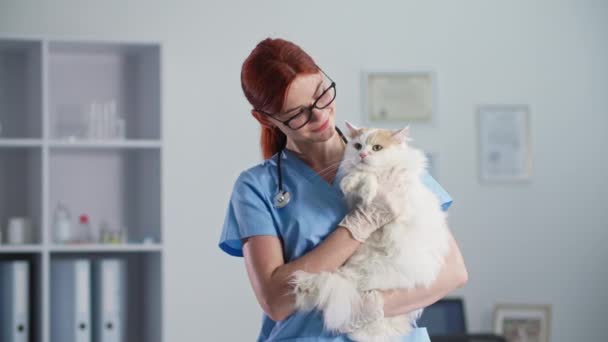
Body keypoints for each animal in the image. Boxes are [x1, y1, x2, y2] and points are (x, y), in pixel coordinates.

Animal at [290, 121, 452, 340]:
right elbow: (358, 177)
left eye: (377, 148)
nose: (363, 155)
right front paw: (352, 183)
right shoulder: (353, 203)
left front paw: (367, 189)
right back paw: (305, 285)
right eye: (358, 146)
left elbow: (369, 178)